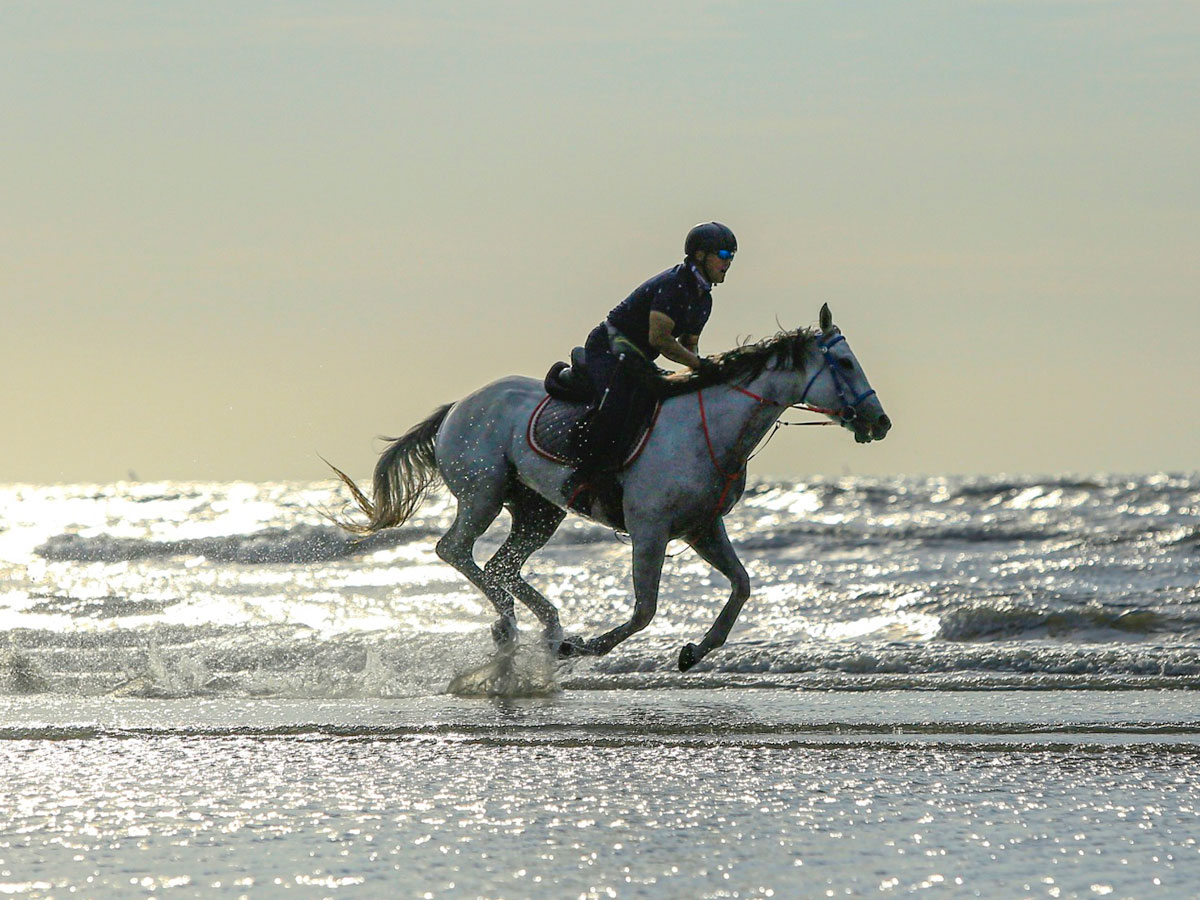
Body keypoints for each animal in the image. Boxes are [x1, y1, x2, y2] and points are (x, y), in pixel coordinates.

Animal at [328, 307, 892, 672]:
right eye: (844, 364)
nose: (880, 422)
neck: (712, 427)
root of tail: (456, 407)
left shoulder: (702, 527)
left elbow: (742, 586)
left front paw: (696, 650)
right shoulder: (651, 530)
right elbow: (645, 610)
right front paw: (584, 648)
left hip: (538, 510)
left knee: (501, 564)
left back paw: (544, 627)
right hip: (483, 493)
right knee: (455, 550)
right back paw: (519, 627)